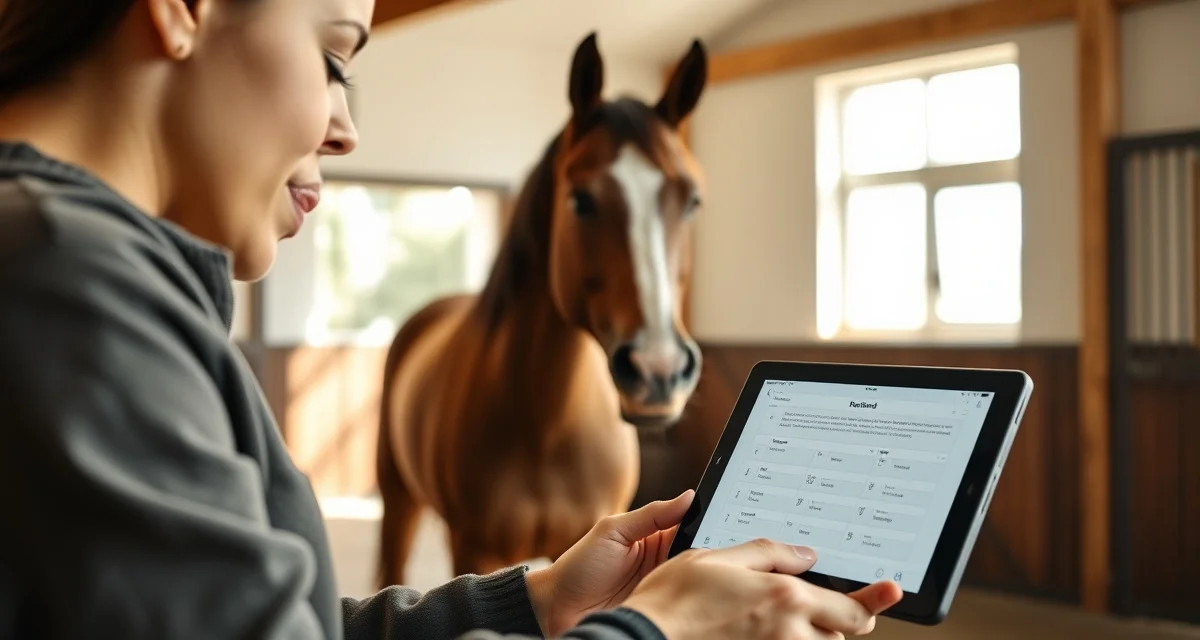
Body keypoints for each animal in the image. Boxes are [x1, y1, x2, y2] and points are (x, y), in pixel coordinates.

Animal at [374, 32, 709, 587]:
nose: (658, 370)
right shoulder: (471, 549)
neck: (547, 432)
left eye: (693, 200)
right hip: (397, 499)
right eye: (581, 200)